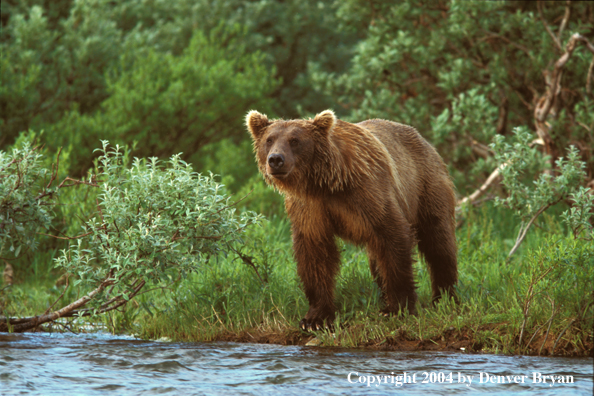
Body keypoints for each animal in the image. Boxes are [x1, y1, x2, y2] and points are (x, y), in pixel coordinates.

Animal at [243, 108, 456, 332]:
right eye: (269, 139)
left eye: (295, 140)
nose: (276, 160)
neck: (326, 182)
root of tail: (426, 141)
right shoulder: (310, 208)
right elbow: (315, 253)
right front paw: (315, 318)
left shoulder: (369, 194)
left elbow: (394, 237)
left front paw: (398, 307)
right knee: (377, 259)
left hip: (426, 187)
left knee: (438, 242)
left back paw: (444, 296)